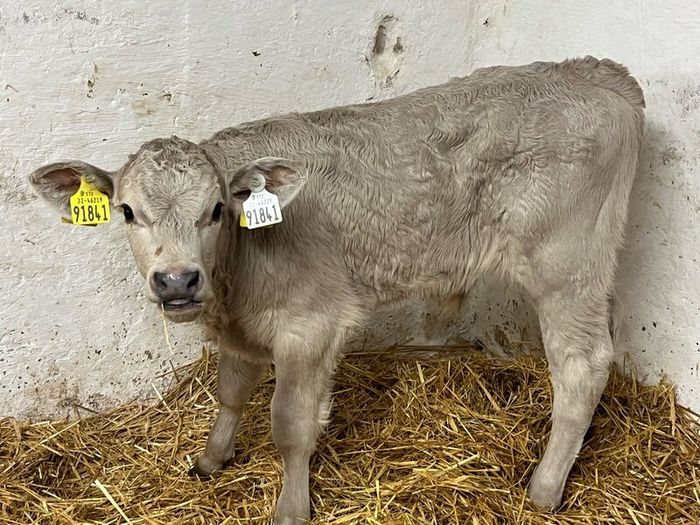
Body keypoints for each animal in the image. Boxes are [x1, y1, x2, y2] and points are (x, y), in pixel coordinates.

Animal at [29, 56, 645, 523]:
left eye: (217, 210)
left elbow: (290, 425)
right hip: (595, 266)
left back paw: (543, 490)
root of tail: (596, 73)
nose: (177, 280)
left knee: (583, 363)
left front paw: (291, 509)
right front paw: (211, 459)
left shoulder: (311, 325)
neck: (237, 275)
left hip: (564, 265)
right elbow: (231, 391)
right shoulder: (243, 329)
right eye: (127, 211)